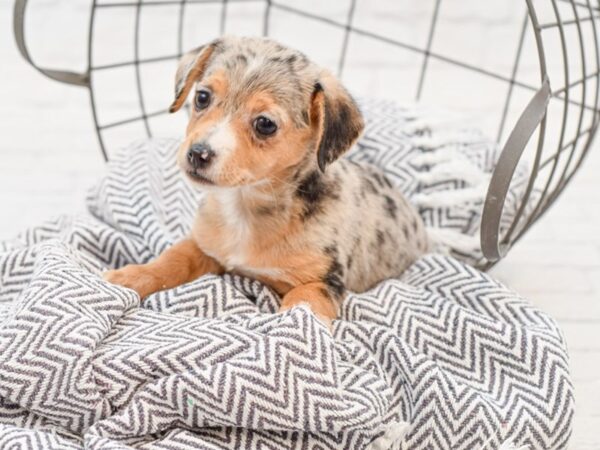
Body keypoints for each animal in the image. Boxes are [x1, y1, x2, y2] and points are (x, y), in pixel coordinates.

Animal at [104, 35, 432, 324]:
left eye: (265, 124)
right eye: (202, 97)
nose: (198, 154)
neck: (245, 208)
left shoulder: (324, 281)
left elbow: (303, 304)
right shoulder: (203, 246)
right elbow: (171, 259)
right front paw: (129, 276)